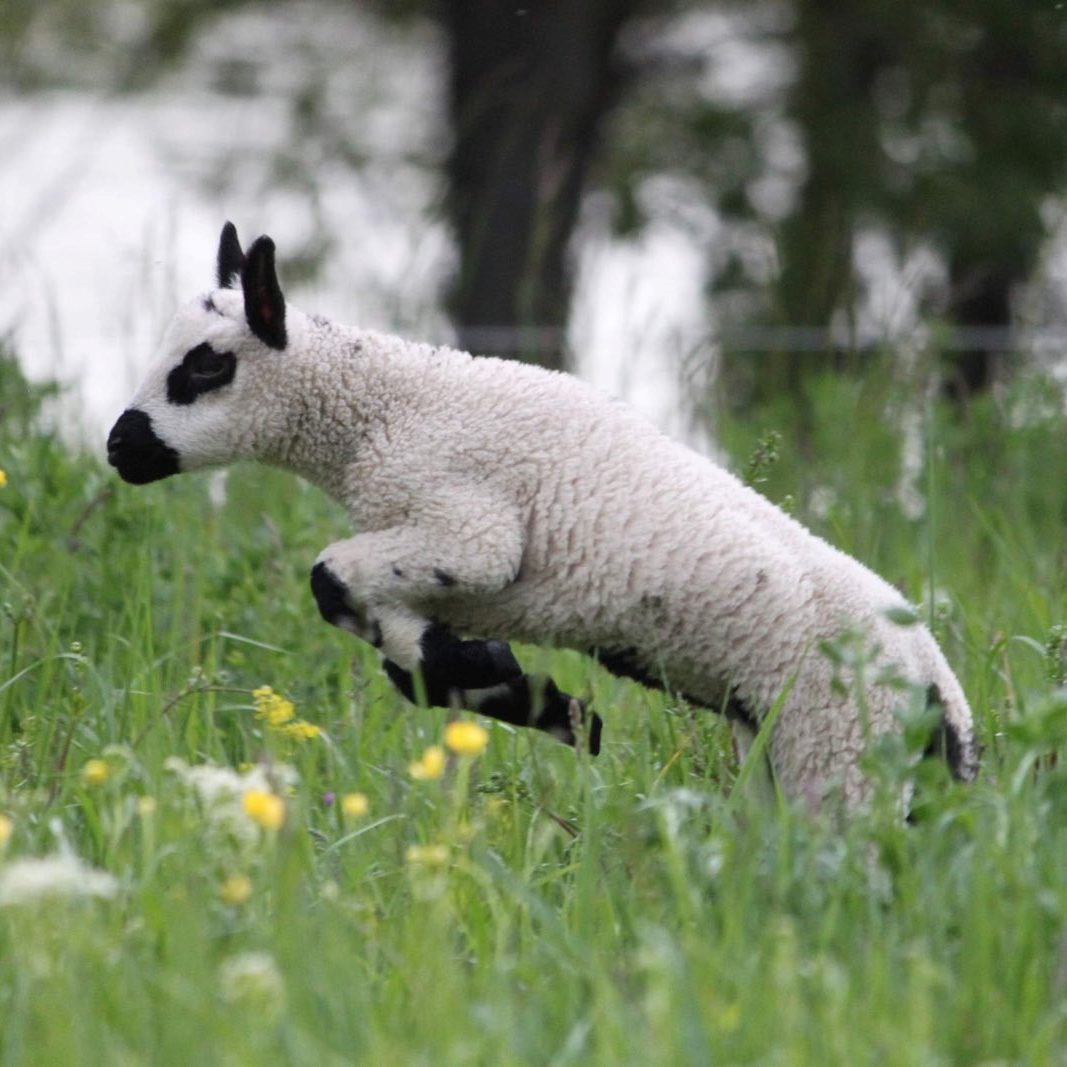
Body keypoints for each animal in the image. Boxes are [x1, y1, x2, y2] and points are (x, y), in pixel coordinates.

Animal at [106, 222, 978, 813]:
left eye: (205, 366)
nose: (120, 446)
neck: (380, 412)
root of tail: (943, 701)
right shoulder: (453, 570)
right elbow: (396, 649)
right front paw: (518, 691)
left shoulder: (471, 529)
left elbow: (333, 578)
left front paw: (534, 698)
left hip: (841, 753)